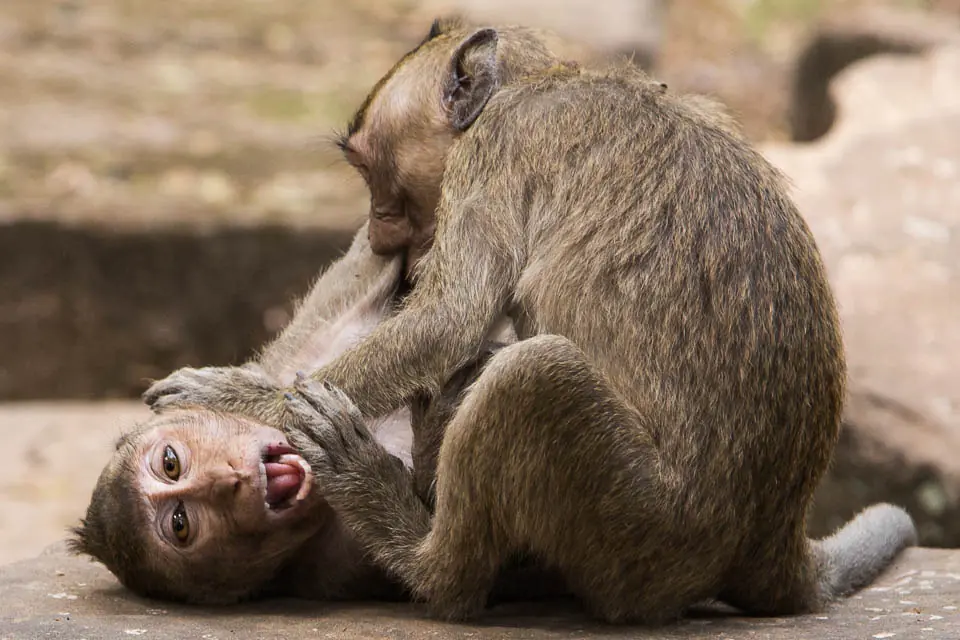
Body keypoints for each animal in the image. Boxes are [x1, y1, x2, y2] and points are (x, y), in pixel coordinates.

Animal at [143, 18, 918, 625]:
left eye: (370, 173)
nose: (383, 232)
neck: (540, 79)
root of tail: (771, 537)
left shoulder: (496, 152)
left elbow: (447, 320)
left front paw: (237, 395)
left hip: (648, 528)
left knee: (533, 375)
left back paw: (417, 549)